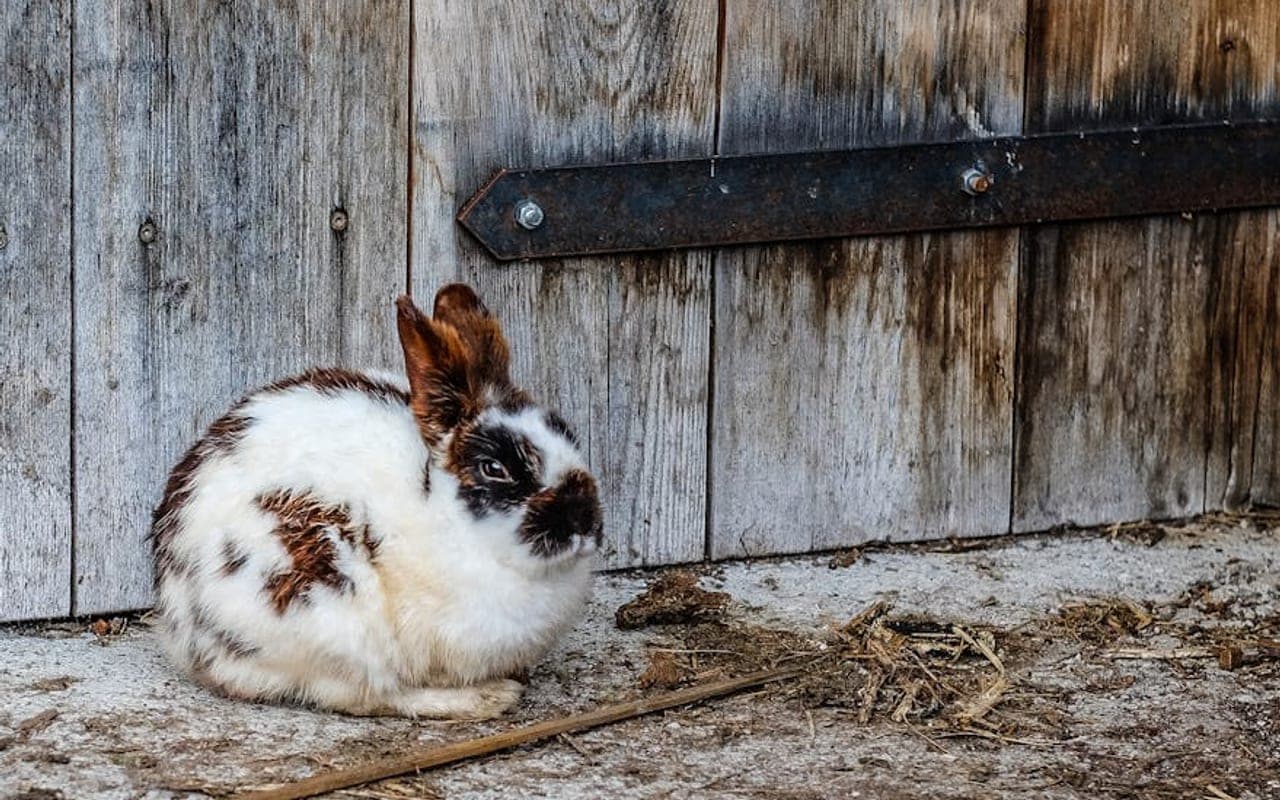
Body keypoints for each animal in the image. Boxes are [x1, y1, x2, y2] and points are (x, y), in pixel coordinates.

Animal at [150, 284, 603, 719]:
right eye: (495, 468)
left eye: (568, 435)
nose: (584, 520)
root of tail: (183, 630)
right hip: (330, 609)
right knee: (370, 695)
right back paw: (487, 698)